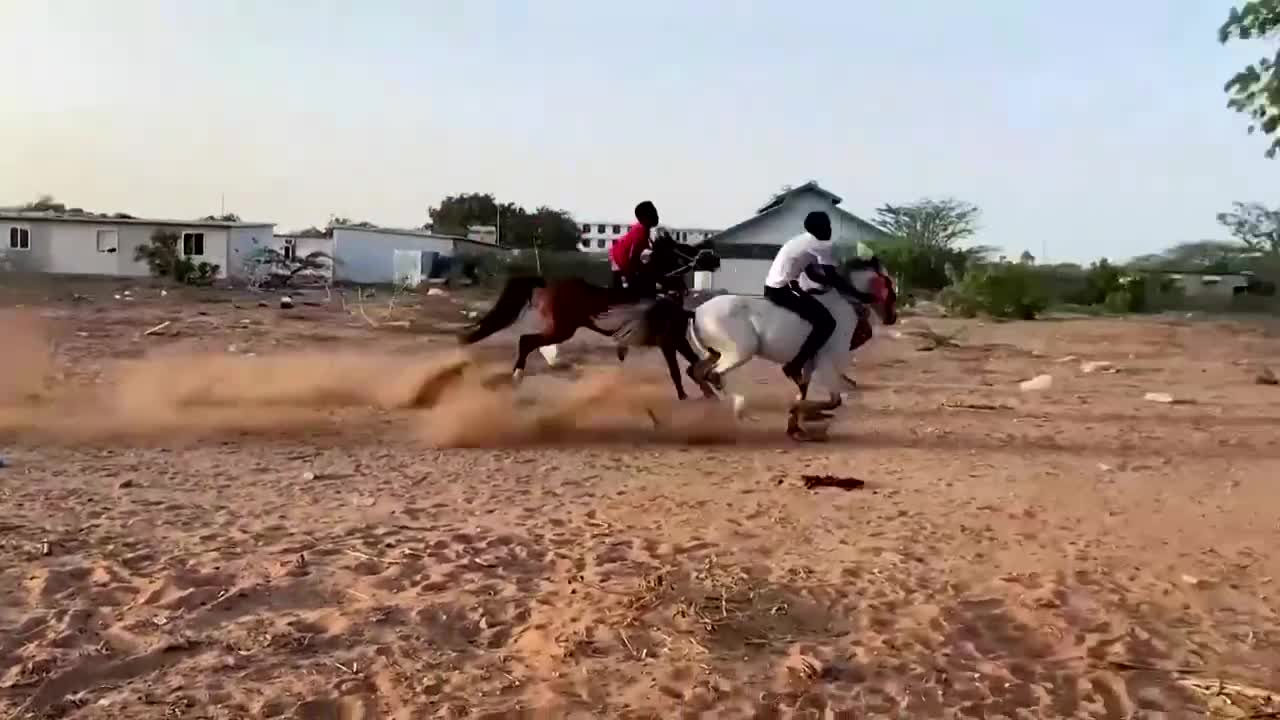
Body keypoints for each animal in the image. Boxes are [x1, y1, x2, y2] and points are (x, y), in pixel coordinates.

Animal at [460, 235, 721, 397]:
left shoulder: (676, 339)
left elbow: (694, 366)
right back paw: (516, 377)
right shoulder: (667, 341)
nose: (715, 258)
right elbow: (680, 373)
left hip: (560, 329)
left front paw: (712, 385)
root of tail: (547, 282)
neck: (658, 291)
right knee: (526, 341)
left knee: (527, 341)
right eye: (684, 248)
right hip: (562, 329)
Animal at [686, 257, 896, 438]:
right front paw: (800, 413)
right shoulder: (826, 363)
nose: (892, 318)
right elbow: (834, 401)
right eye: (889, 286)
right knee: (714, 375)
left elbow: (804, 391)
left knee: (698, 372)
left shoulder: (809, 364)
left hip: (714, 353)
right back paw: (740, 407)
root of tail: (697, 311)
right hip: (742, 351)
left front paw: (795, 427)